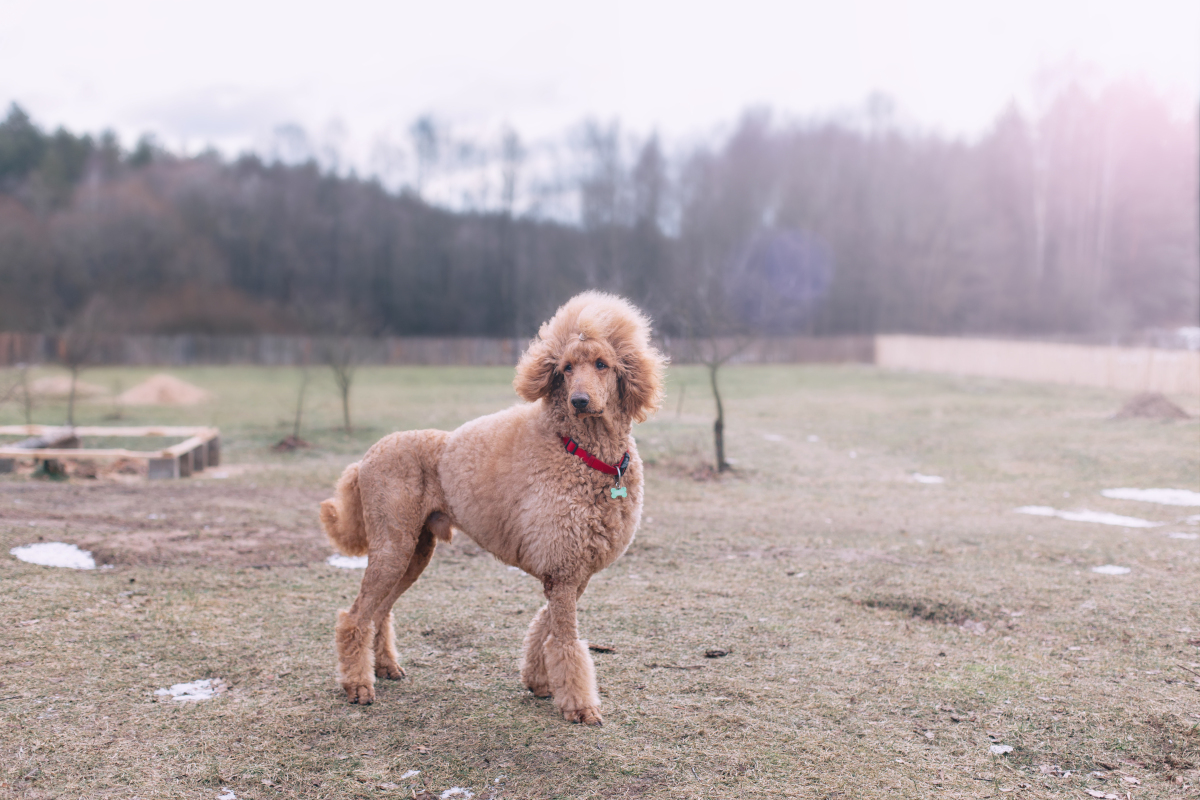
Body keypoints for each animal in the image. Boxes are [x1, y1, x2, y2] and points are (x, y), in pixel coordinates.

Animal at [319, 292, 667, 724]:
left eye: (603, 364)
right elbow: (565, 641)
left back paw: (384, 667)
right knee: (355, 616)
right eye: (566, 369)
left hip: (414, 550)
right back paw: (357, 686)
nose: (579, 401)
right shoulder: (562, 569)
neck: (582, 452)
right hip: (392, 544)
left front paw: (538, 682)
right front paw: (580, 706)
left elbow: (544, 628)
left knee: (379, 611)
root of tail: (364, 459)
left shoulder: (574, 571)